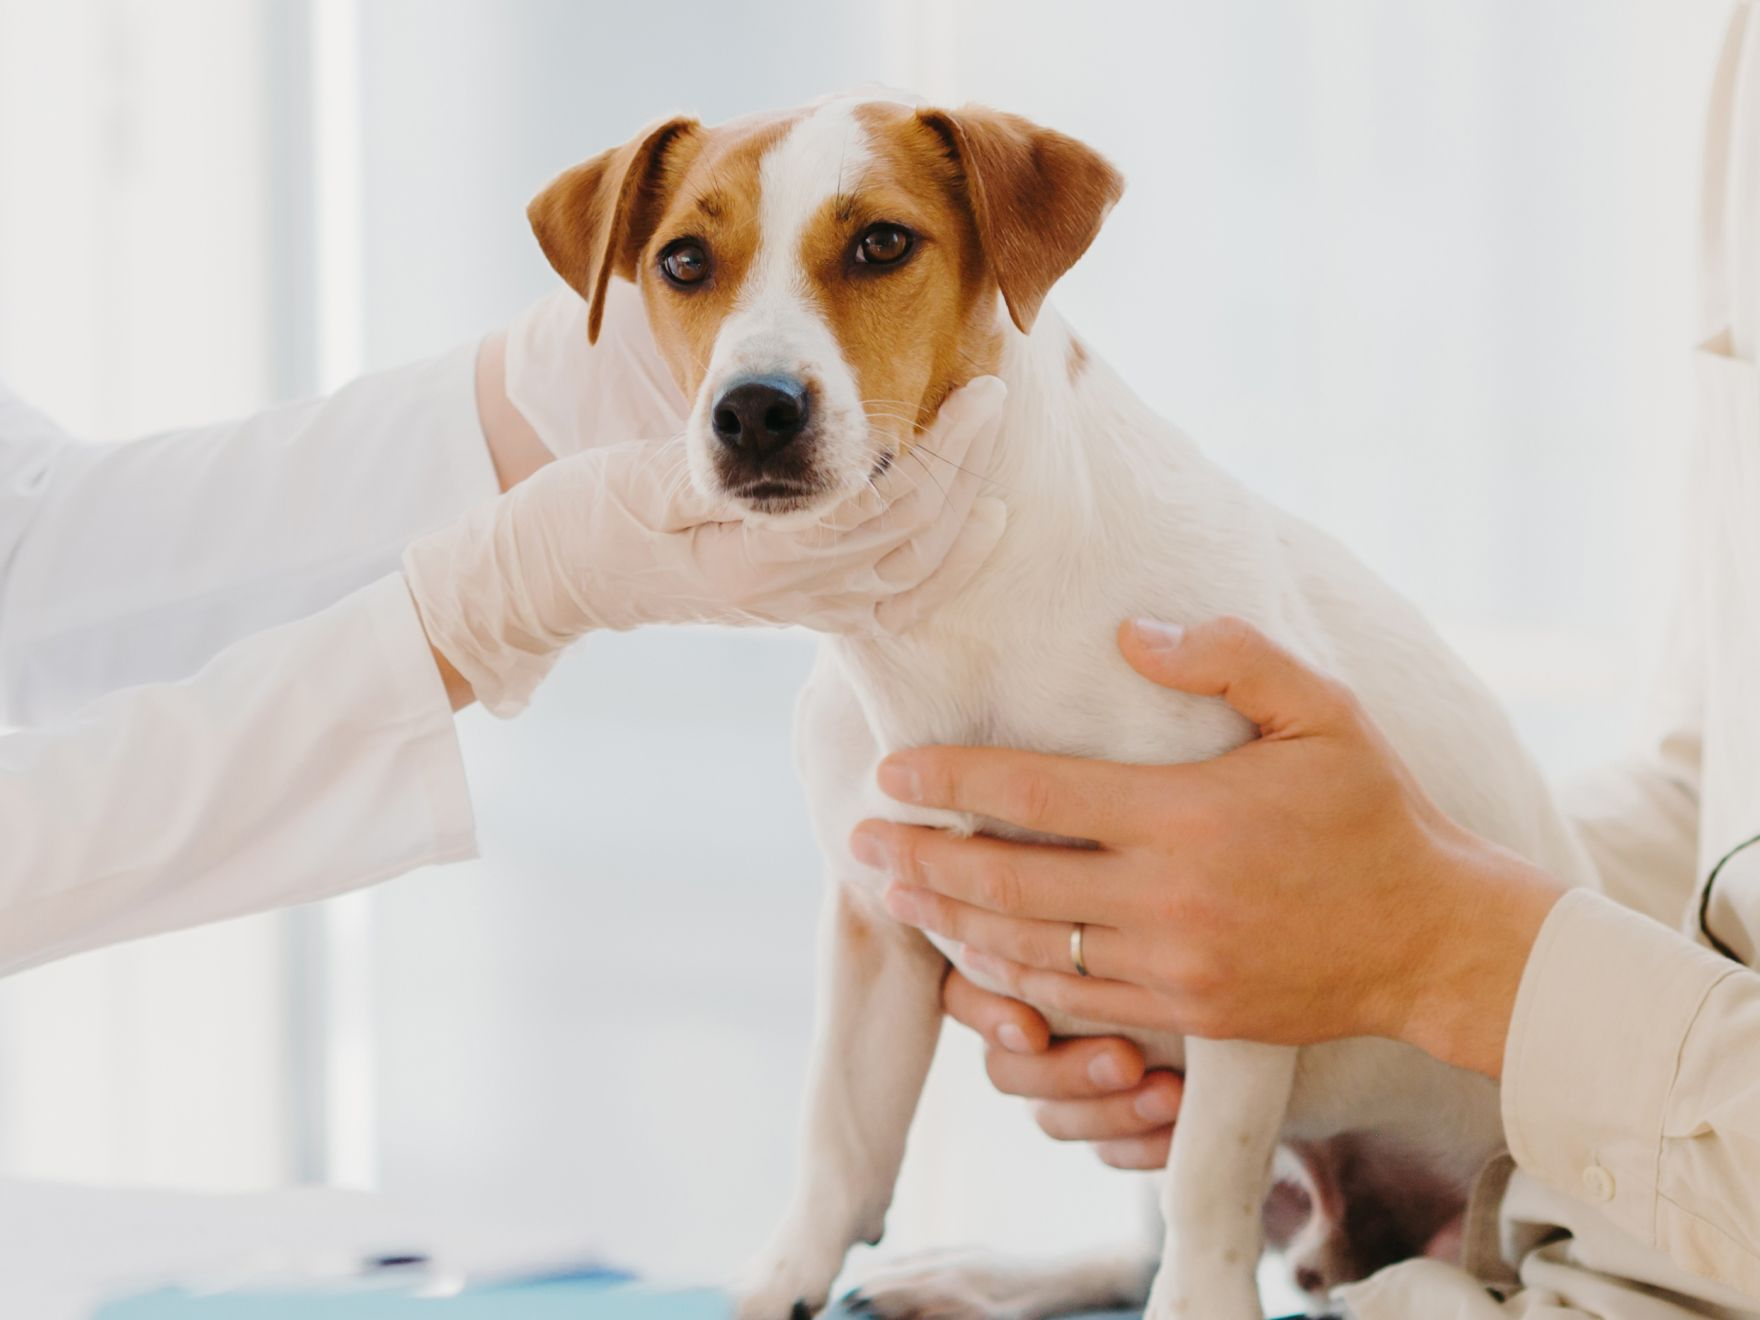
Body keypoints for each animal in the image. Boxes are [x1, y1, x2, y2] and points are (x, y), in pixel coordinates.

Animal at [524, 93, 1598, 1320]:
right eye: (684, 261)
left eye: (881, 243)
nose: (754, 409)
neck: (954, 617)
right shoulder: (875, 925)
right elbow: (839, 1137)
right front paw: (784, 1278)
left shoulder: (1234, 952)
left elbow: (1206, 1194)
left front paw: (1201, 1303)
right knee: (1125, 1254)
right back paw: (974, 1278)